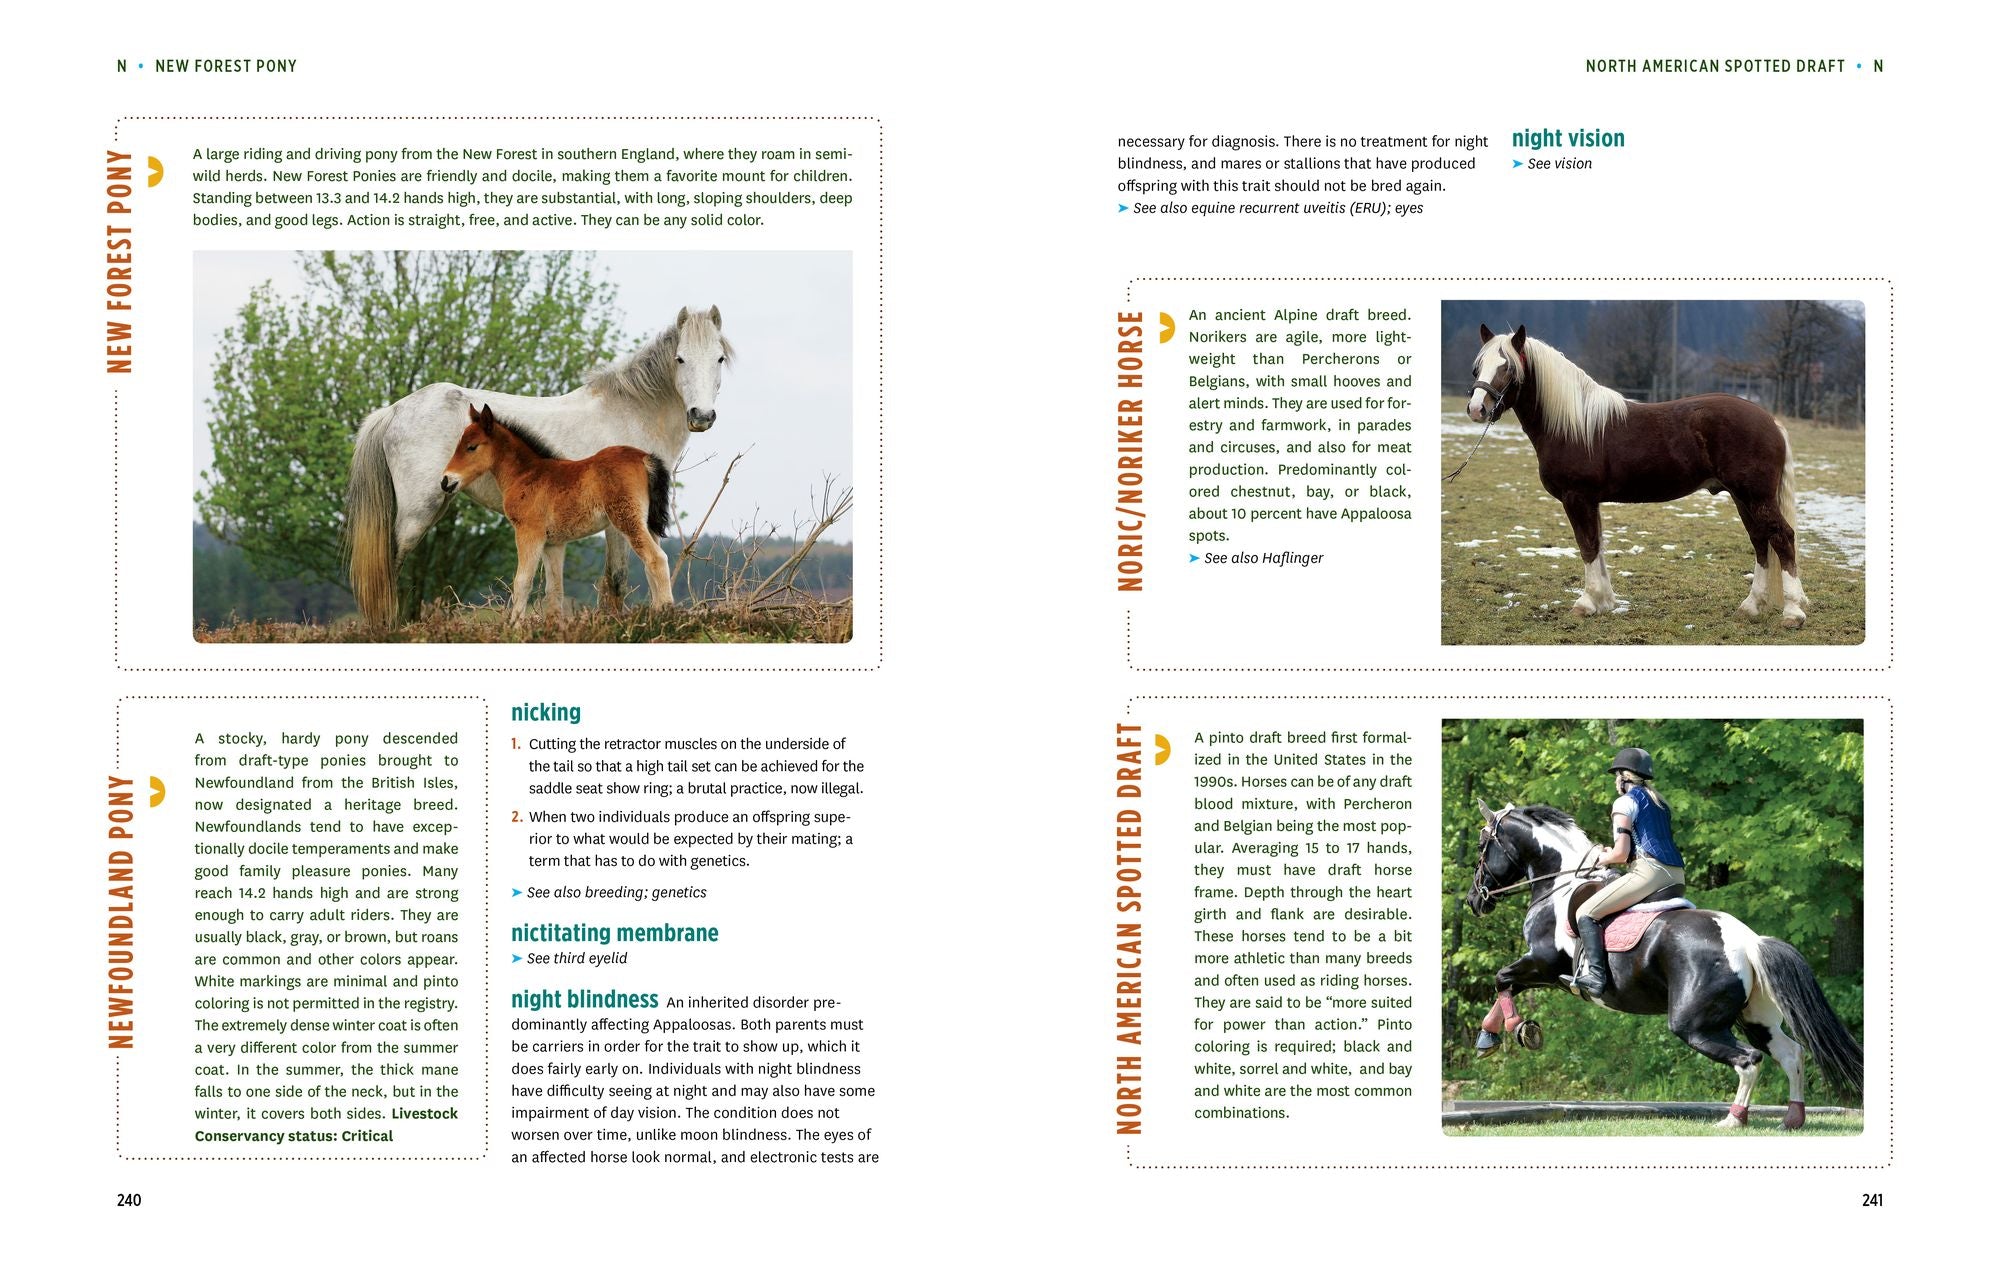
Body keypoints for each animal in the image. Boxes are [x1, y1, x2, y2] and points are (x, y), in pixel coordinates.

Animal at [440, 404, 673, 623]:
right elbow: (554, 590)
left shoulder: (529, 533)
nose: (446, 481)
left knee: (656, 559)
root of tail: (644, 458)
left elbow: (522, 581)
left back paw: (665, 616)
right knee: (651, 564)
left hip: (627, 519)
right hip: (647, 523)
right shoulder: (554, 543)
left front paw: (514, 627)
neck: (526, 474)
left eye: (472, 447)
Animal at [1464, 800, 1862, 1128]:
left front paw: (1517, 1030)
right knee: (1791, 1054)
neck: (1559, 885)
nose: (1474, 901)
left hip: (1694, 1025)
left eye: (1483, 847)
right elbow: (1505, 983)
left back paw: (1734, 1119)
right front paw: (1492, 1037)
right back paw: (1792, 1119)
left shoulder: (1543, 964)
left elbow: (1502, 978)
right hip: (1755, 1018)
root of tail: (1749, 942)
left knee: (1749, 1059)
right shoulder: (1545, 972)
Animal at [1465, 324, 1808, 627]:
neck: (1573, 425)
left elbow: (1587, 546)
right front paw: (1604, 601)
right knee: (1760, 540)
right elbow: (1596, 545)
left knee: (1782, 537)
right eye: (1477, 367)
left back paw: (1793, 612)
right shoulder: (1590, 501)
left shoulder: (1577, 498)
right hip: (1742, 497)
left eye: (1508, 368)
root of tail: (1770, 421)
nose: (1477, 409)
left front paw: (1587, 603)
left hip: (1756, 496)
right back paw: (1751, 607)